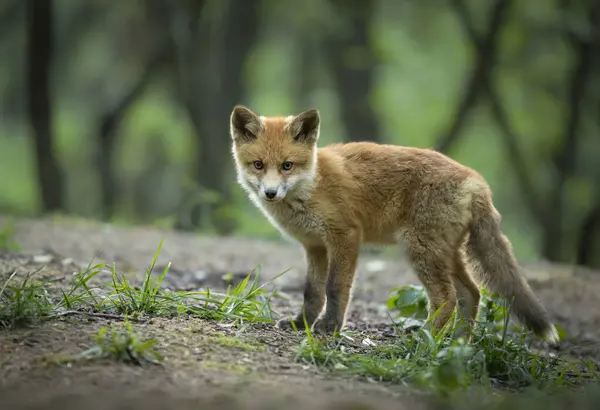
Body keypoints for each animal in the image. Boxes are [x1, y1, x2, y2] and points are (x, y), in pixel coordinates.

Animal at [229, 105, 556, 342]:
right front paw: (302, 324)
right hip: (445, 253)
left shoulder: (345, 236)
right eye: (258, 165)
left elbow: (335, 288)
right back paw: (458, 343)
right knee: (472, 293)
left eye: (287, 165)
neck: (312, 185)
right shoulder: (314, 246)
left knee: (446, 298)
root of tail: (477, 180)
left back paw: (426, 338)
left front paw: (330, 327)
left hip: (420, 250)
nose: (271, 193)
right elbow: (312, 292)